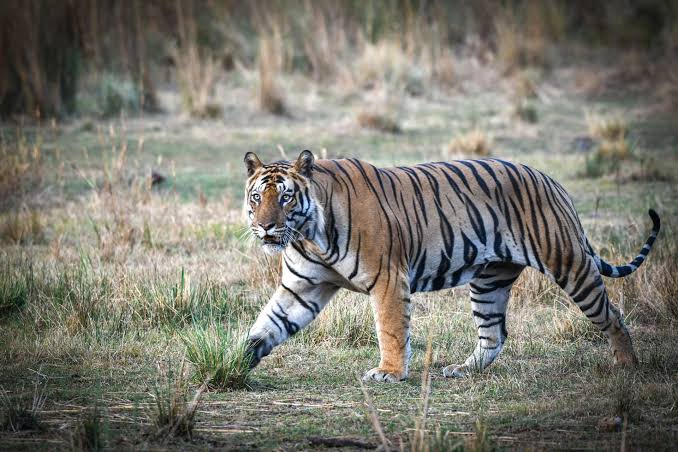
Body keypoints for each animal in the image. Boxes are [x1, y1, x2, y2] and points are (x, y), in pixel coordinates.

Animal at [243, 150, 660, 382]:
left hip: (569, 263)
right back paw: (463, 370)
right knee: (494, 335)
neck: (308, 233)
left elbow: (391, 329)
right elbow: (267, 326)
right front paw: (234, 362)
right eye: (256, 197)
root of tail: (552, 181)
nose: (265, 227)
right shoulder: (302, 287)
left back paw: (627, 366)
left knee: (612, 316)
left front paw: (389, 372)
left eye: (285, 197)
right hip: (490, 282)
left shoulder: (388, 279)